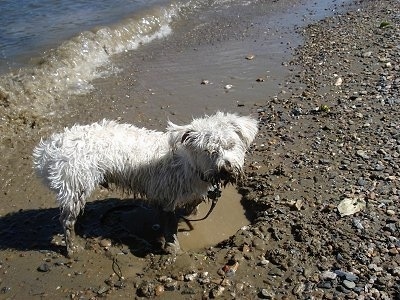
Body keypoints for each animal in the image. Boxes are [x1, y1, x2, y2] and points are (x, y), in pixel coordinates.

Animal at [33, 111, 260, 256]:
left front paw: (189, 213)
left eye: (230, 145)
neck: (188, 164)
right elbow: (170, 228)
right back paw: (72, 247)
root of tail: (53, 149)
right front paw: (173, 249)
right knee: (66, 221)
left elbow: (192, 205)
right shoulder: (167, 198)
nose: (226, 168)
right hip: (75, 182)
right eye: (208, 150)